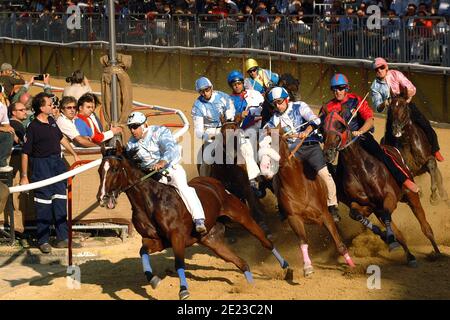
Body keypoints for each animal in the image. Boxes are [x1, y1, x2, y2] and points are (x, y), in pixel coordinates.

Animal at [96, 141, 290, 298]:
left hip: (242, 216)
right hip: (212, 240)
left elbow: (179, 263)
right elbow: (142, 252)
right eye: (99, 170)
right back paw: (250, 287)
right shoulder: (155, 240)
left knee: (265, 241)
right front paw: (154, 280)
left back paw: (287, 268)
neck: (151, 201)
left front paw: (183, 290)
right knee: (241, 263)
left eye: (114, 169)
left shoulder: (177, 237)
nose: (103, 197)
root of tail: (217, 184)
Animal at [264, 124, 356, 276]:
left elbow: (339, 243)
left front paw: (352, 265)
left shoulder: (325, 215)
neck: (298, 186)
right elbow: (303, 242)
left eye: (275, 142)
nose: (265, 169)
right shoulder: (294, 218)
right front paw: (307, 267)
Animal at [322, 111, 442, 266]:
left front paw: (389, 237)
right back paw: (407, 253)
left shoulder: (389, 197)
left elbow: (386, 213)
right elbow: (356, 213)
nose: (328, 152)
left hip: (410, 195)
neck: (360, 169)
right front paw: (390, 239)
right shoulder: (369, 205)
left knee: (425, 226)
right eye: (322, 130)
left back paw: (436, 252)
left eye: (340, 127)